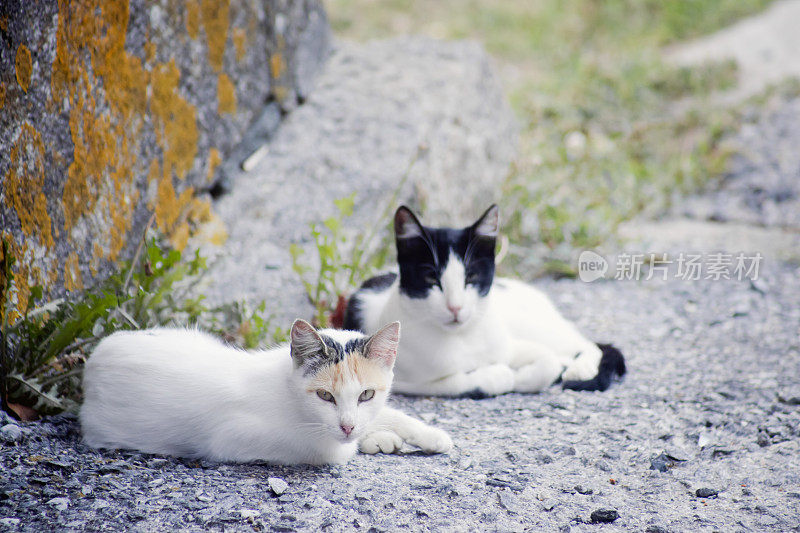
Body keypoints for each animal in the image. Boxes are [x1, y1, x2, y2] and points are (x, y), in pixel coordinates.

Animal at [83, 318, 456, 464]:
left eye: (366, 395)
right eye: (325, 396)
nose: (348, 426)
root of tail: (93, 360)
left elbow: (387, 413)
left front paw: (429, 434)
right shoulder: (232, 439)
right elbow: (334, 450)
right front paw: (364, 439)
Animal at [344, 206, 624, 396]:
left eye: (471, 277)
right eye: (431, 278)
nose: (455, 307)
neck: (463, 339)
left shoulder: (511, 345)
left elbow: (546, 361)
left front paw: (527, 375)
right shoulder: (402, 380)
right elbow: (459, 381)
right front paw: (504, 375)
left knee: (587, 344)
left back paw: (580, 367)